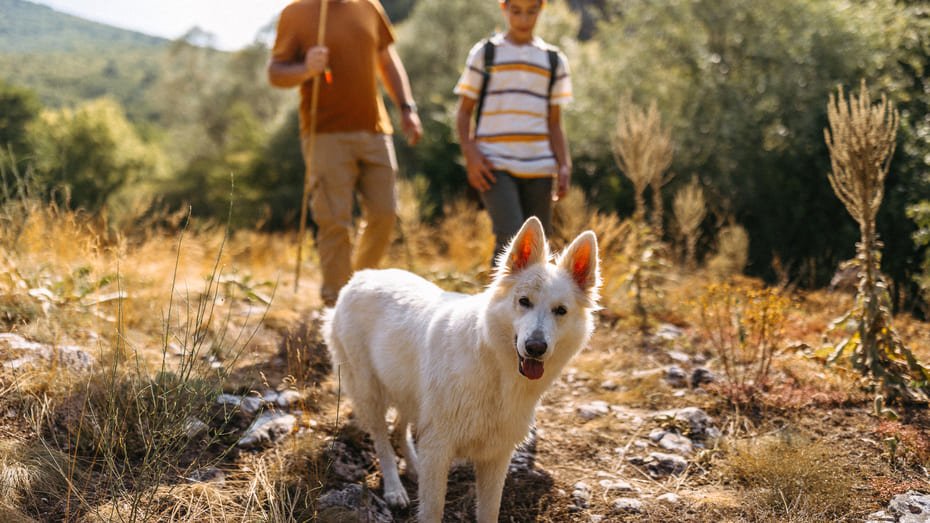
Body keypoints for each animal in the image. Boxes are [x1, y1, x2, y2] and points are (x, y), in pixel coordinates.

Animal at [322, 215, 600, 520]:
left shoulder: (496, 455)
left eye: (560, 311)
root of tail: (362, 276)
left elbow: (489, 512)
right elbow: (432, 510)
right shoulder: (439, 447)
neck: (494, 367)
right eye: (524, 301)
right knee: (383, 442)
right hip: (370, 393)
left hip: (410, 395)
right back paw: (395, 490)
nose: (535, 347)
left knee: (399, 430)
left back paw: (414, 468)